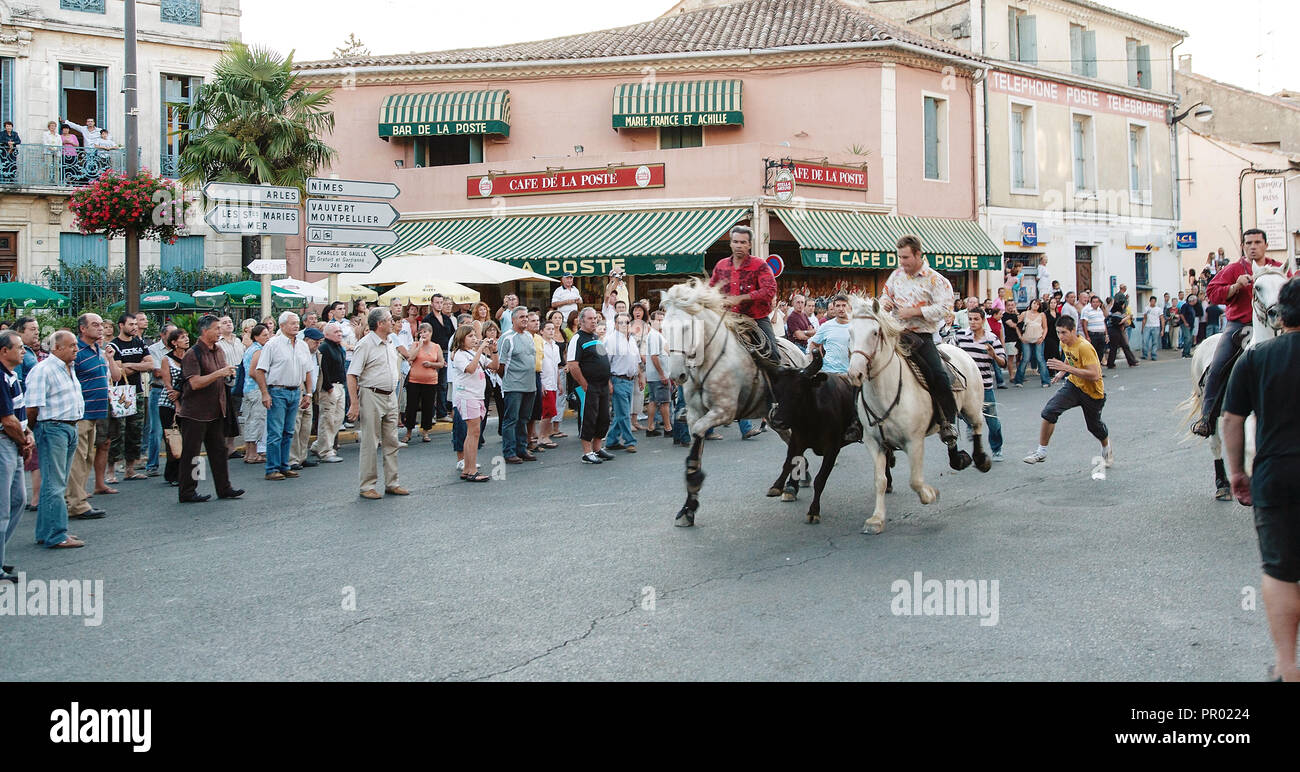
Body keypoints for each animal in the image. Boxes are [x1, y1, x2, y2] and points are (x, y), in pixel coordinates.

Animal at [665, 279, 806, 525]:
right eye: (663, 328)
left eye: (685, 328)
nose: (676, 375)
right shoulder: (694, 414)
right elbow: (695, 450)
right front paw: (688, 508)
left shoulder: (724, 410)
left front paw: (694, 487)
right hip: (777, 421)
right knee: (792, 444)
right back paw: (792, 483)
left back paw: (793, 484)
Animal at [769, 353, 894, 522]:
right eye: (777, 392)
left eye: (798, 393)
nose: (777, 422)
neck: (813, 416)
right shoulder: (797, 441)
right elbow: (789, 463)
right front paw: (778, 486)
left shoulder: (832, 449)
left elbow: (820, 479)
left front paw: (814, 511)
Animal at [837, 296, 987, 535]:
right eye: (850, 332)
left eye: (875, 332)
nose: (854, 374)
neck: (885, 391)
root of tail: (957, 348)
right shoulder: (873, 442)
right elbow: (880, 480)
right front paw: (876, 519)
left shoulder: (914, 441)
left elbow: (915, 480)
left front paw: (930, 494)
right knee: (952, 437)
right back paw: (958, 458)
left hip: (972, 406)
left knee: (978, 426)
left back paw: (982, 460)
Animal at [1185, 262, 1284, 499]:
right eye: (1257, 287)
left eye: (1284, 285)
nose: (1277, 314)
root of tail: (1201, 345)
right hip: (1210, 411)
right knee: (1216, 443)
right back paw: (1222, 484)